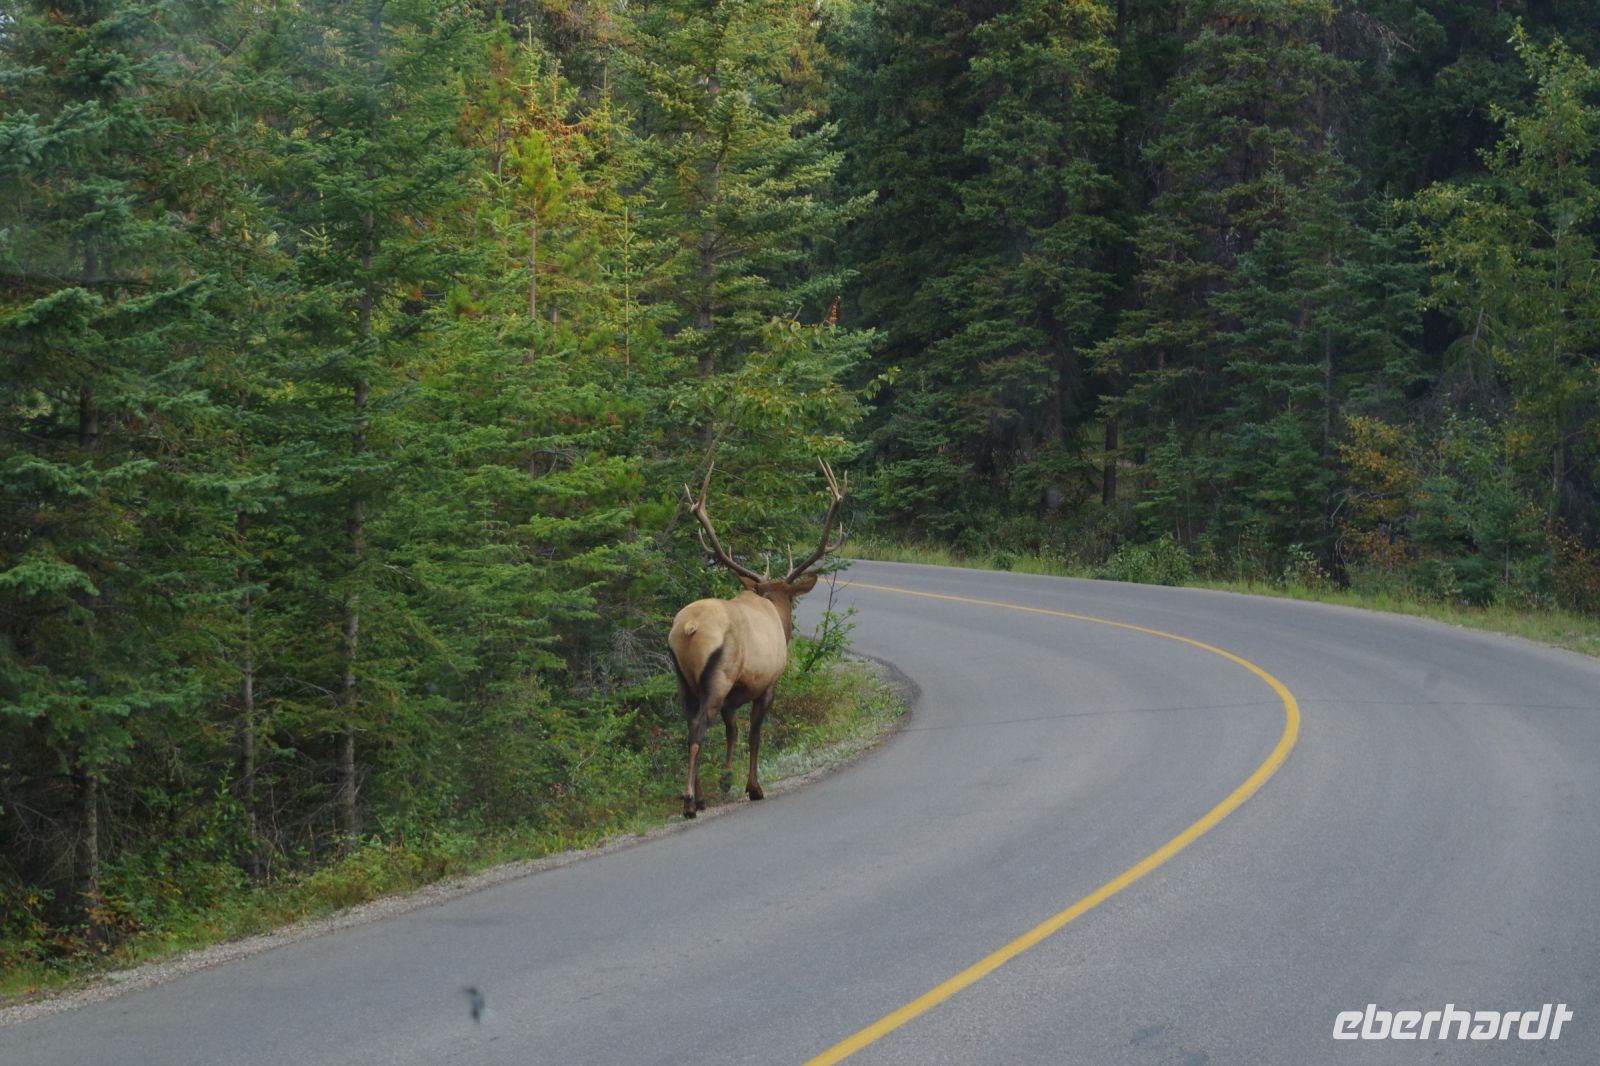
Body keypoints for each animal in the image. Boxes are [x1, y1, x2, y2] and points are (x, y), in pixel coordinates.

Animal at [667, 458, 847, 819]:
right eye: (790, 598)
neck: (773, 606)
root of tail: (689, 628)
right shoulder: (767, 684)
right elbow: (754, 735)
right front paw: (753, 787)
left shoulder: (735, 696)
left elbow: (732, 732)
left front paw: (726, 778)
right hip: (719, 675)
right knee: (698, 728)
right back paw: (690, 802)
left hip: (684, 679)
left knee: (689, 725)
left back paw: (699, 796)